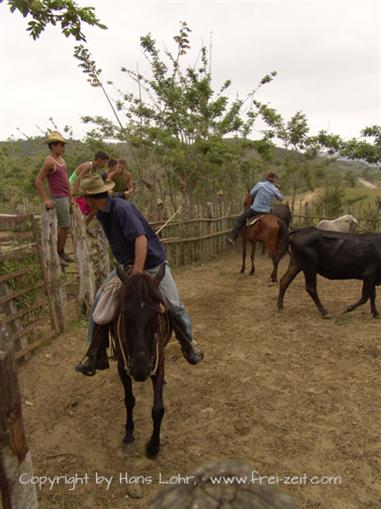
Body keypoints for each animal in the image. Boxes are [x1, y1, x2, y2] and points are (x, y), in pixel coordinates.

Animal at [110, 264, 171, 458]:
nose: (140, 370)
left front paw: (153, 445)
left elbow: (158, 409)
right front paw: (129, 432)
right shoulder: (122, 368)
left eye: (157, 313)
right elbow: (129, 400)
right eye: (124, 312)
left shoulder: (159, 364)